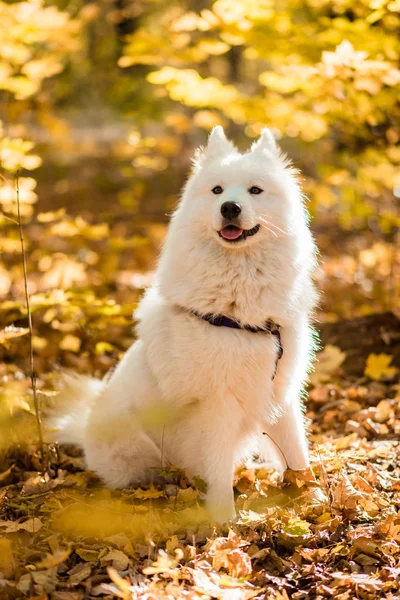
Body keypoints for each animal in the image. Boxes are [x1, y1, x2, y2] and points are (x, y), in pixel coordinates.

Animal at [53, 126, 318, 520]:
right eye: (217, 190)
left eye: (255, 190)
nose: (230, 208)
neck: (238, 301)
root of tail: (84, 433)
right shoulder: (217, 402)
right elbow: (219, 468)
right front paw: (225, 520)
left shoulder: (279, 390)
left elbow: (297, 454)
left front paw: (314, 499)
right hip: (136, 449)